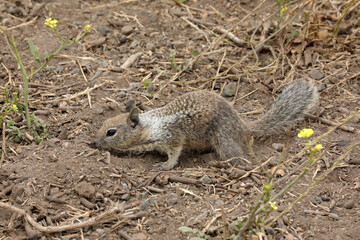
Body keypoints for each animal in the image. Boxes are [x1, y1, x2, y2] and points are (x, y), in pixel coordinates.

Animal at [95, 79, 318, 170]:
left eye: (111, 132)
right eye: (103, 124)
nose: (94, 143)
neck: (151, 125)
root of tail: (242, 125)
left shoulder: (172, 137)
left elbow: (174, 154)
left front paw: (164, 165)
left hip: (223, 138)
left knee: (239, 157)